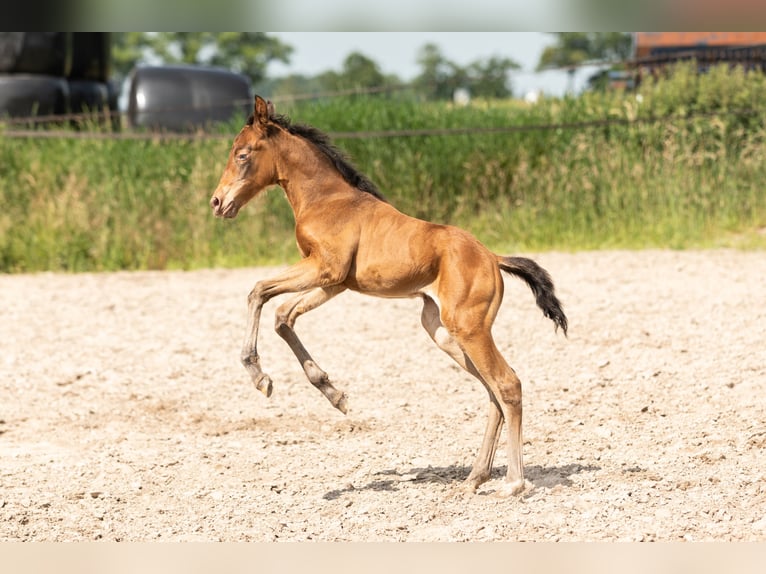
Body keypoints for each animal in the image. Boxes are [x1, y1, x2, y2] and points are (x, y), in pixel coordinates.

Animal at [210, 95, 567, 496]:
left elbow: (258, 292)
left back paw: (514, 482)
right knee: (492, 391)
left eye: (242, 154)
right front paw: (334, 394)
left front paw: (259, 376)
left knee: (507, 384)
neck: (327, 200)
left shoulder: (324, 269)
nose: (217, 202)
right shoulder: (333, 282)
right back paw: (475, 477)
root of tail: (492, 257)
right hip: (442, 331)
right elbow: (283, 316)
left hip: (469, 328)